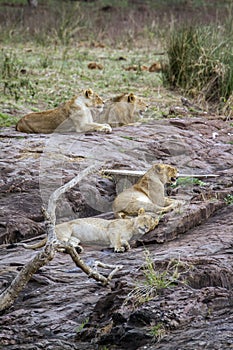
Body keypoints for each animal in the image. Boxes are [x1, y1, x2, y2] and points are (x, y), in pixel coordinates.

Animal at [15, 209, 158, 253]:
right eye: (144, 218)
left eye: (152, 224)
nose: (146, 227)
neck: (132, 230)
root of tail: (54, 228)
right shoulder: (113, 228)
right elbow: (116, 240)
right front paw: (119, 248)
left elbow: (123, 241)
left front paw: (127, 246)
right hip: (65, 232)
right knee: (55, 246)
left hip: (74, 238)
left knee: (68, 245)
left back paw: (77, 249)